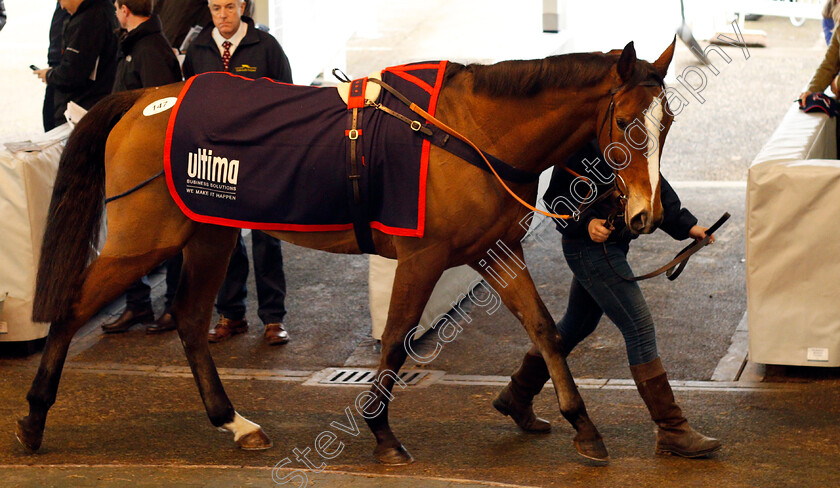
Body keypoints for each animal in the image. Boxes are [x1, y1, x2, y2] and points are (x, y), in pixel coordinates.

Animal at [18, 40, 676, 464]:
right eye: (626, 122)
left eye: (666, 123)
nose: (644, 216)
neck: (468, 131)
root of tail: (145, 97)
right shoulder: (422, 256)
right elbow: (397, 337)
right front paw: (381, 432)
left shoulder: (494, 251)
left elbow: (544, 329)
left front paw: (582, 425)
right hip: (142, 241)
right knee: (73, 309)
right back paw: (33, 417)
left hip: (208, 233)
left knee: (187, 319)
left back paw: (234, 422)